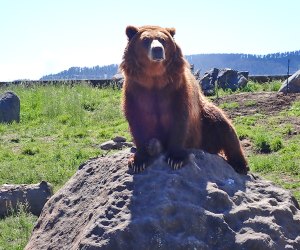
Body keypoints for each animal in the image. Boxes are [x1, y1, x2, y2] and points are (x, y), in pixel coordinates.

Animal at [119, 24, 248, 174]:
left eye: (162, 39)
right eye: (146, 39)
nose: (157, 50)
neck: (155, 78)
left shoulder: (176, 89)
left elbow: (179, 120)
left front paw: (176, 159)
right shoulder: (136, 91)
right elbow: (137, 121)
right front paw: (138, 161)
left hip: (205, 121)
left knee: (225, 127)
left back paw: (240, 165)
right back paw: (154, 145)